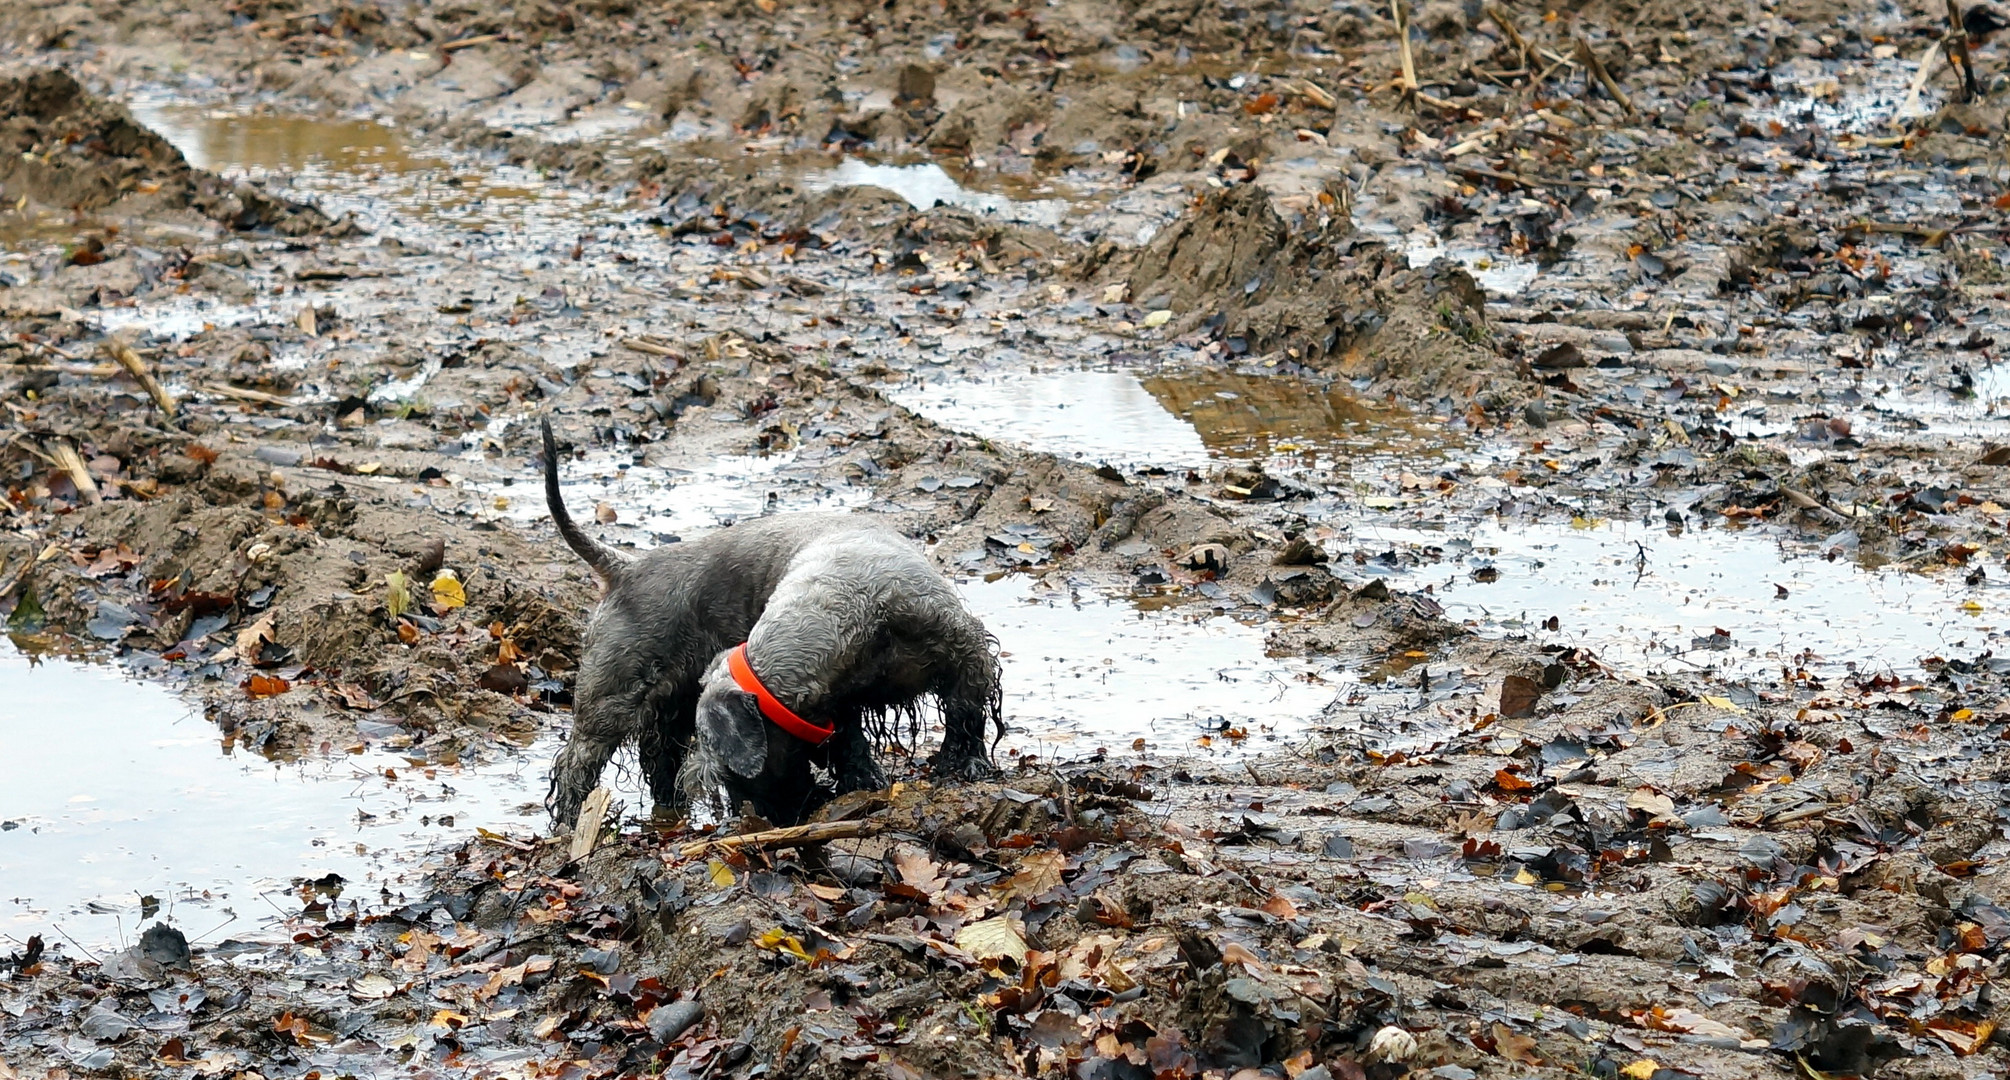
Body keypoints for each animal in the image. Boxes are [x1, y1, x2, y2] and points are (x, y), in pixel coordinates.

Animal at [542, 416, 1005, 820]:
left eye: (735, 775)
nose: (763, 816)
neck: (859, 607)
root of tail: (624, 567)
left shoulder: (963, 647)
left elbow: (966, 710)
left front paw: (965, 763)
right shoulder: (844, 701)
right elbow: (852, 741)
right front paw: (862, 780)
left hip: (666, 703)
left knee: (656, 761)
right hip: (611, 699)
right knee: (576, 765)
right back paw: (571, 826)